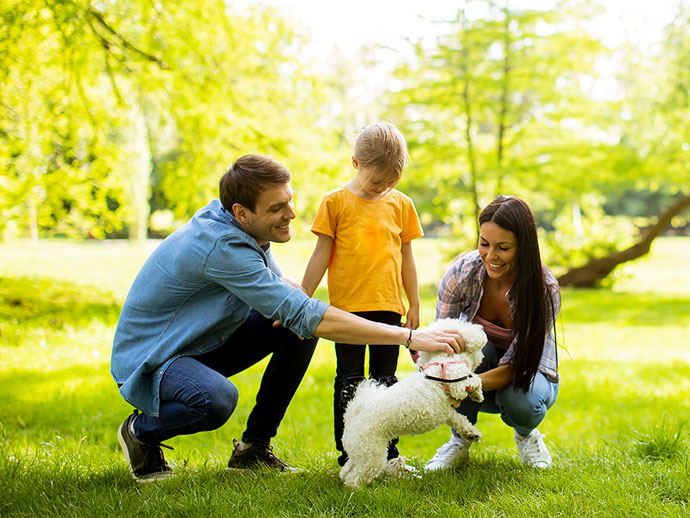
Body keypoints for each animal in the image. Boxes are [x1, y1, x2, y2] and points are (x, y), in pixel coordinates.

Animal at [338, 318, 484, 490]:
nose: (482, 356)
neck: (439, 364)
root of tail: (353, 417)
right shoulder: (455, 378)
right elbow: (473, 380)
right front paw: (477, 393)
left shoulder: (448, 412)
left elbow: (460, 420)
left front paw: (472, 433)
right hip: (371, 453)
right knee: (355, 477)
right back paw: (359, 491)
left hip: (358, 451)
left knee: (348, 468)